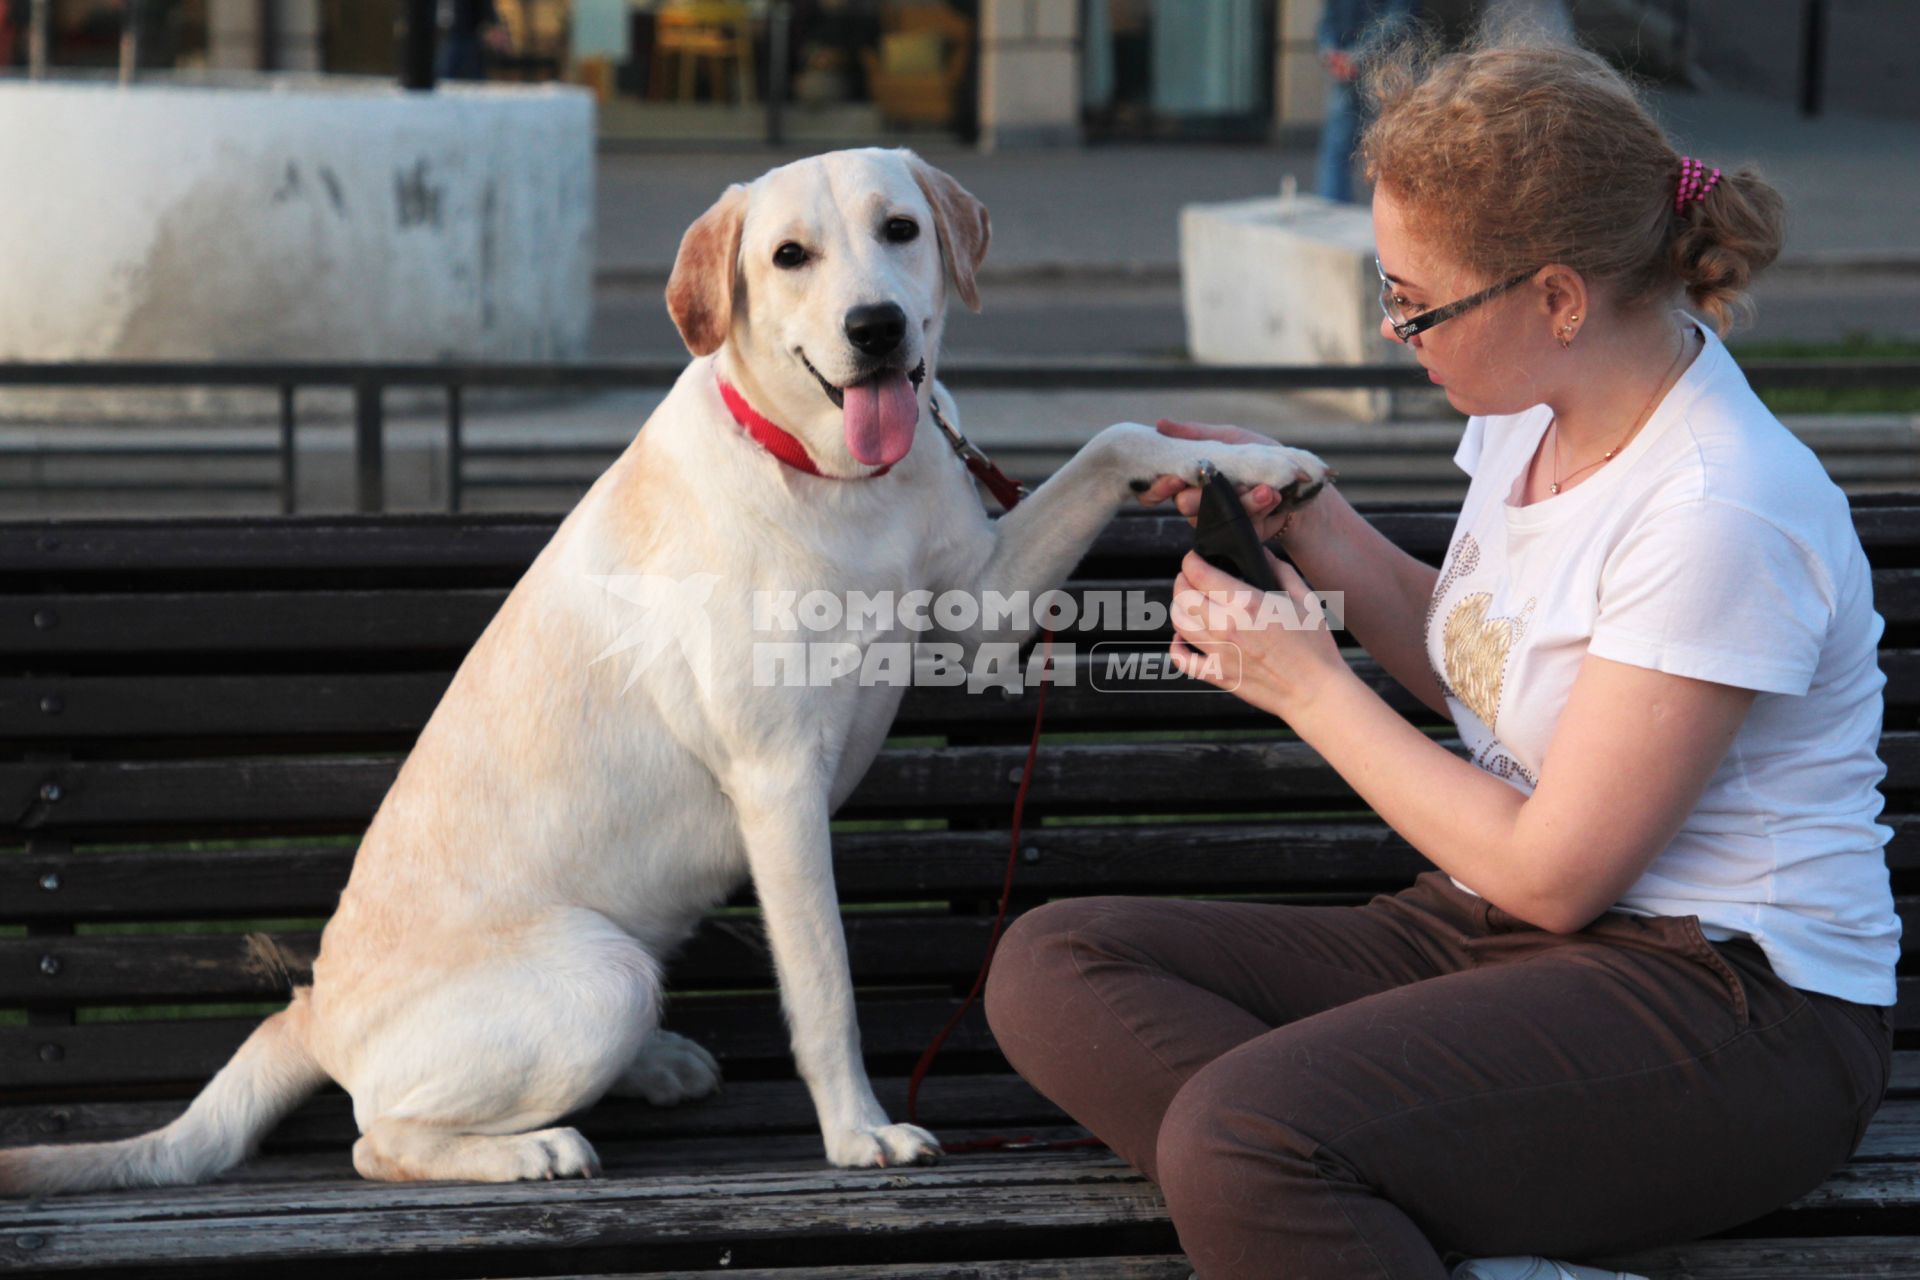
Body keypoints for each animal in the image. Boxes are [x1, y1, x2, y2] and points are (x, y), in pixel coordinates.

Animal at [0, 147, 1328, 1189]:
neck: (833, 476)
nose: (877, 327)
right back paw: (533, 1145)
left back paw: (653, 1070)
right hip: (600, 971)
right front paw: (857, 1132)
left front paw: (1266, 461)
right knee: (379, 1136)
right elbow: (825, 983)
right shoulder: (780, 784)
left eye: (900, 231)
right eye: (790, 255)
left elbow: (1115, 433)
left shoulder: (984, 599)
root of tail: (313, 1005)